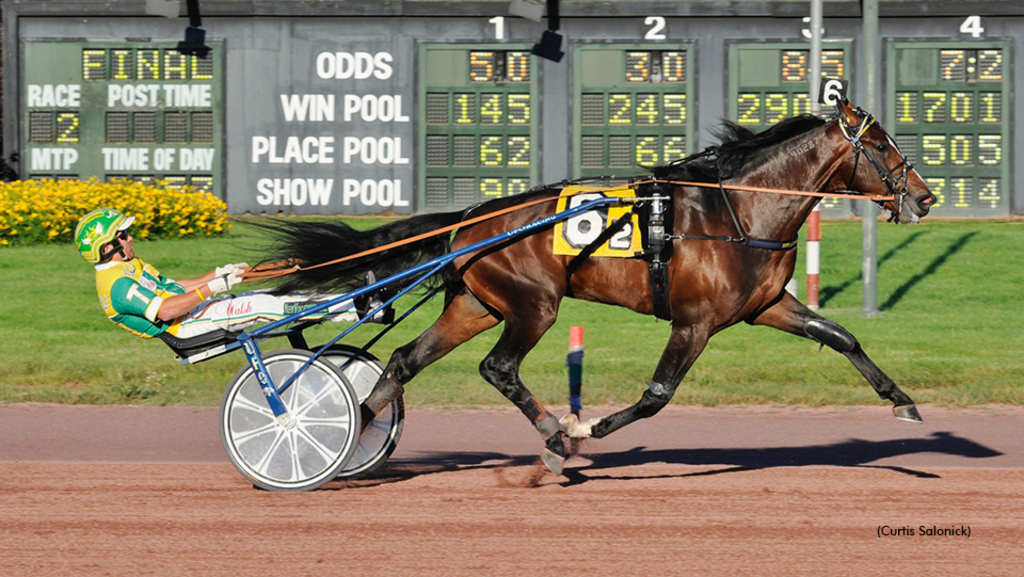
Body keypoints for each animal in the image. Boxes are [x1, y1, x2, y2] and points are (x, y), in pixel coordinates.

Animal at [256, 99, 937, 475]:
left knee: (402, 360)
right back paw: (555, 436)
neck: (736, 209)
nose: (926, 197)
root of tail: (469, 217)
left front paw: (901, 401)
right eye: (881, 146)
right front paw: (582, 431)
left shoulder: (765, 304)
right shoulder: (695, 321)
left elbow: (839, 335)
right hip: (534, 304)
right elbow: (657, 395)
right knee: (498, 368)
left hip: (476, 304)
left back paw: (347, 434)